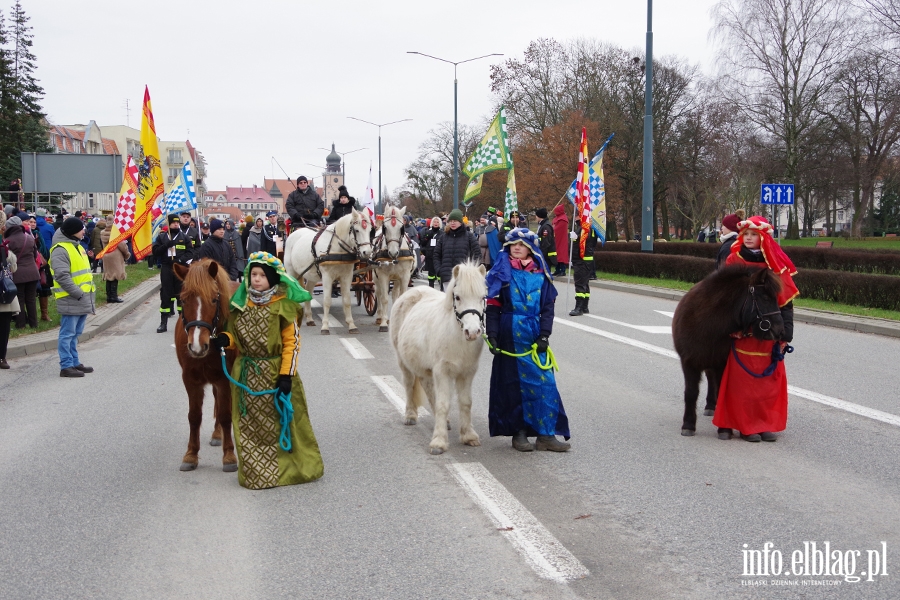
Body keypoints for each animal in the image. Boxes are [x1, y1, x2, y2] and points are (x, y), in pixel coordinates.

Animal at [173, 260, 239, 472]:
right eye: (183, 300)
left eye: (213, 300)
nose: (196, 345)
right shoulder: (190, 380)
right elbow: (194, 416)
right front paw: (191, 455)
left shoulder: (225, 378)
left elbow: (226, 415)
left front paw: (229, 456)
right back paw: (217, 434)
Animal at [386, 260, 486, 452]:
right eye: (457, 297)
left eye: (483, 297)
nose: (472, 332)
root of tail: (410, 292)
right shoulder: (442, 371)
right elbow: (443, 404)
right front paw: (439, 442)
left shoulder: (467, 373)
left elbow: (465, 402)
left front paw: (468, 436)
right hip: (404, 362)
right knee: (409, 384)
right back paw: (410, 415)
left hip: (425, 368)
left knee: (428, 387)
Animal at [672, 264, 784, 438]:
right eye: (765, 298)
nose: (780, 331)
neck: (708, 324)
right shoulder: (689, 362)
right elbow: (691, 393)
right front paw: (688, 425)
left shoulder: (721, 363)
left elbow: (722, 391)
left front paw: (724, 428)